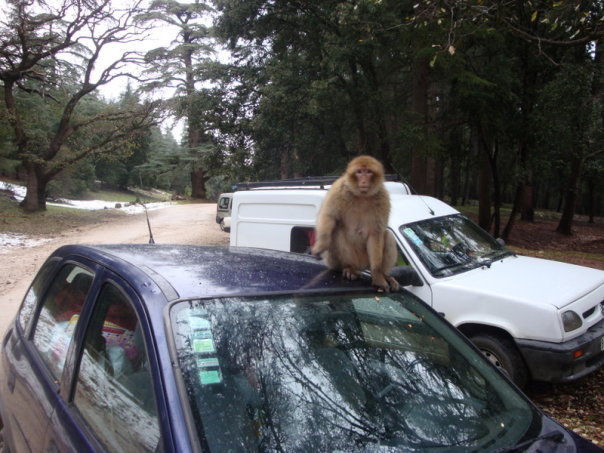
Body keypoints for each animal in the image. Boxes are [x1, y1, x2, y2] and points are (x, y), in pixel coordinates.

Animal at [312, 154, 402, 292]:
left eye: (368, 172)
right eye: (359, 172)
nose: (363, 181)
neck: (362, 196)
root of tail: (360, 267)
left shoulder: (383, 197)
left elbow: (376, 233)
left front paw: (378, 276)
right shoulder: (339, 189)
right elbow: (329, 216)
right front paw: (321, 244)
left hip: (365, 260)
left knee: (388, 236)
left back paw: (384, 275)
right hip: (336, 261)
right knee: (337, 230)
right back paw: (349, 268)